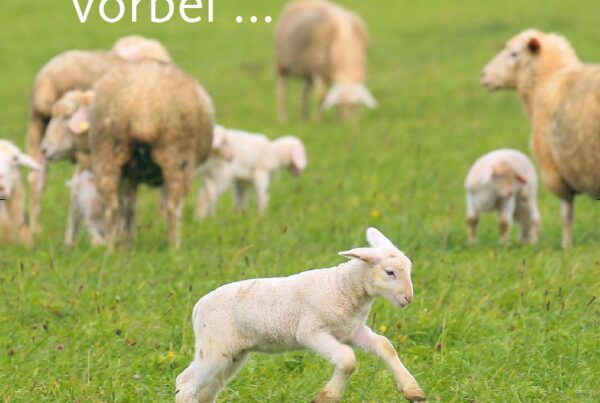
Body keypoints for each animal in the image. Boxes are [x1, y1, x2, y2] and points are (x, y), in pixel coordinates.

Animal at [91, 60, 216, 249]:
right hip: (176, 153)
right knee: (173, 207)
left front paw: (127, 245)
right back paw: (175, 248)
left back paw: (112, 250)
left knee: (114, 207)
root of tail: (143, 109)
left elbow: (129, 208)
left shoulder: (130, 175)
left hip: (108, 152)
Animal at [177, 229, 426, 402]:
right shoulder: (310, 331)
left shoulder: (351, 331)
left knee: (209, 388)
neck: (342, 287)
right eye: (390, 272)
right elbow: (347, 359)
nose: (408, 299)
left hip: (233, 354)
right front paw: (326, 396)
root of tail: (198, 307)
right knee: (186, 382)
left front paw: (413, 390)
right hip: (214, 347)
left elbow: (384, 345)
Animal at [480, 28, 600, 248]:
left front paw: (566, 246)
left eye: (513, 53)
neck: (546, 81)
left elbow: (566, 213)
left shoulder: (554, 170)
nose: (484, 75)